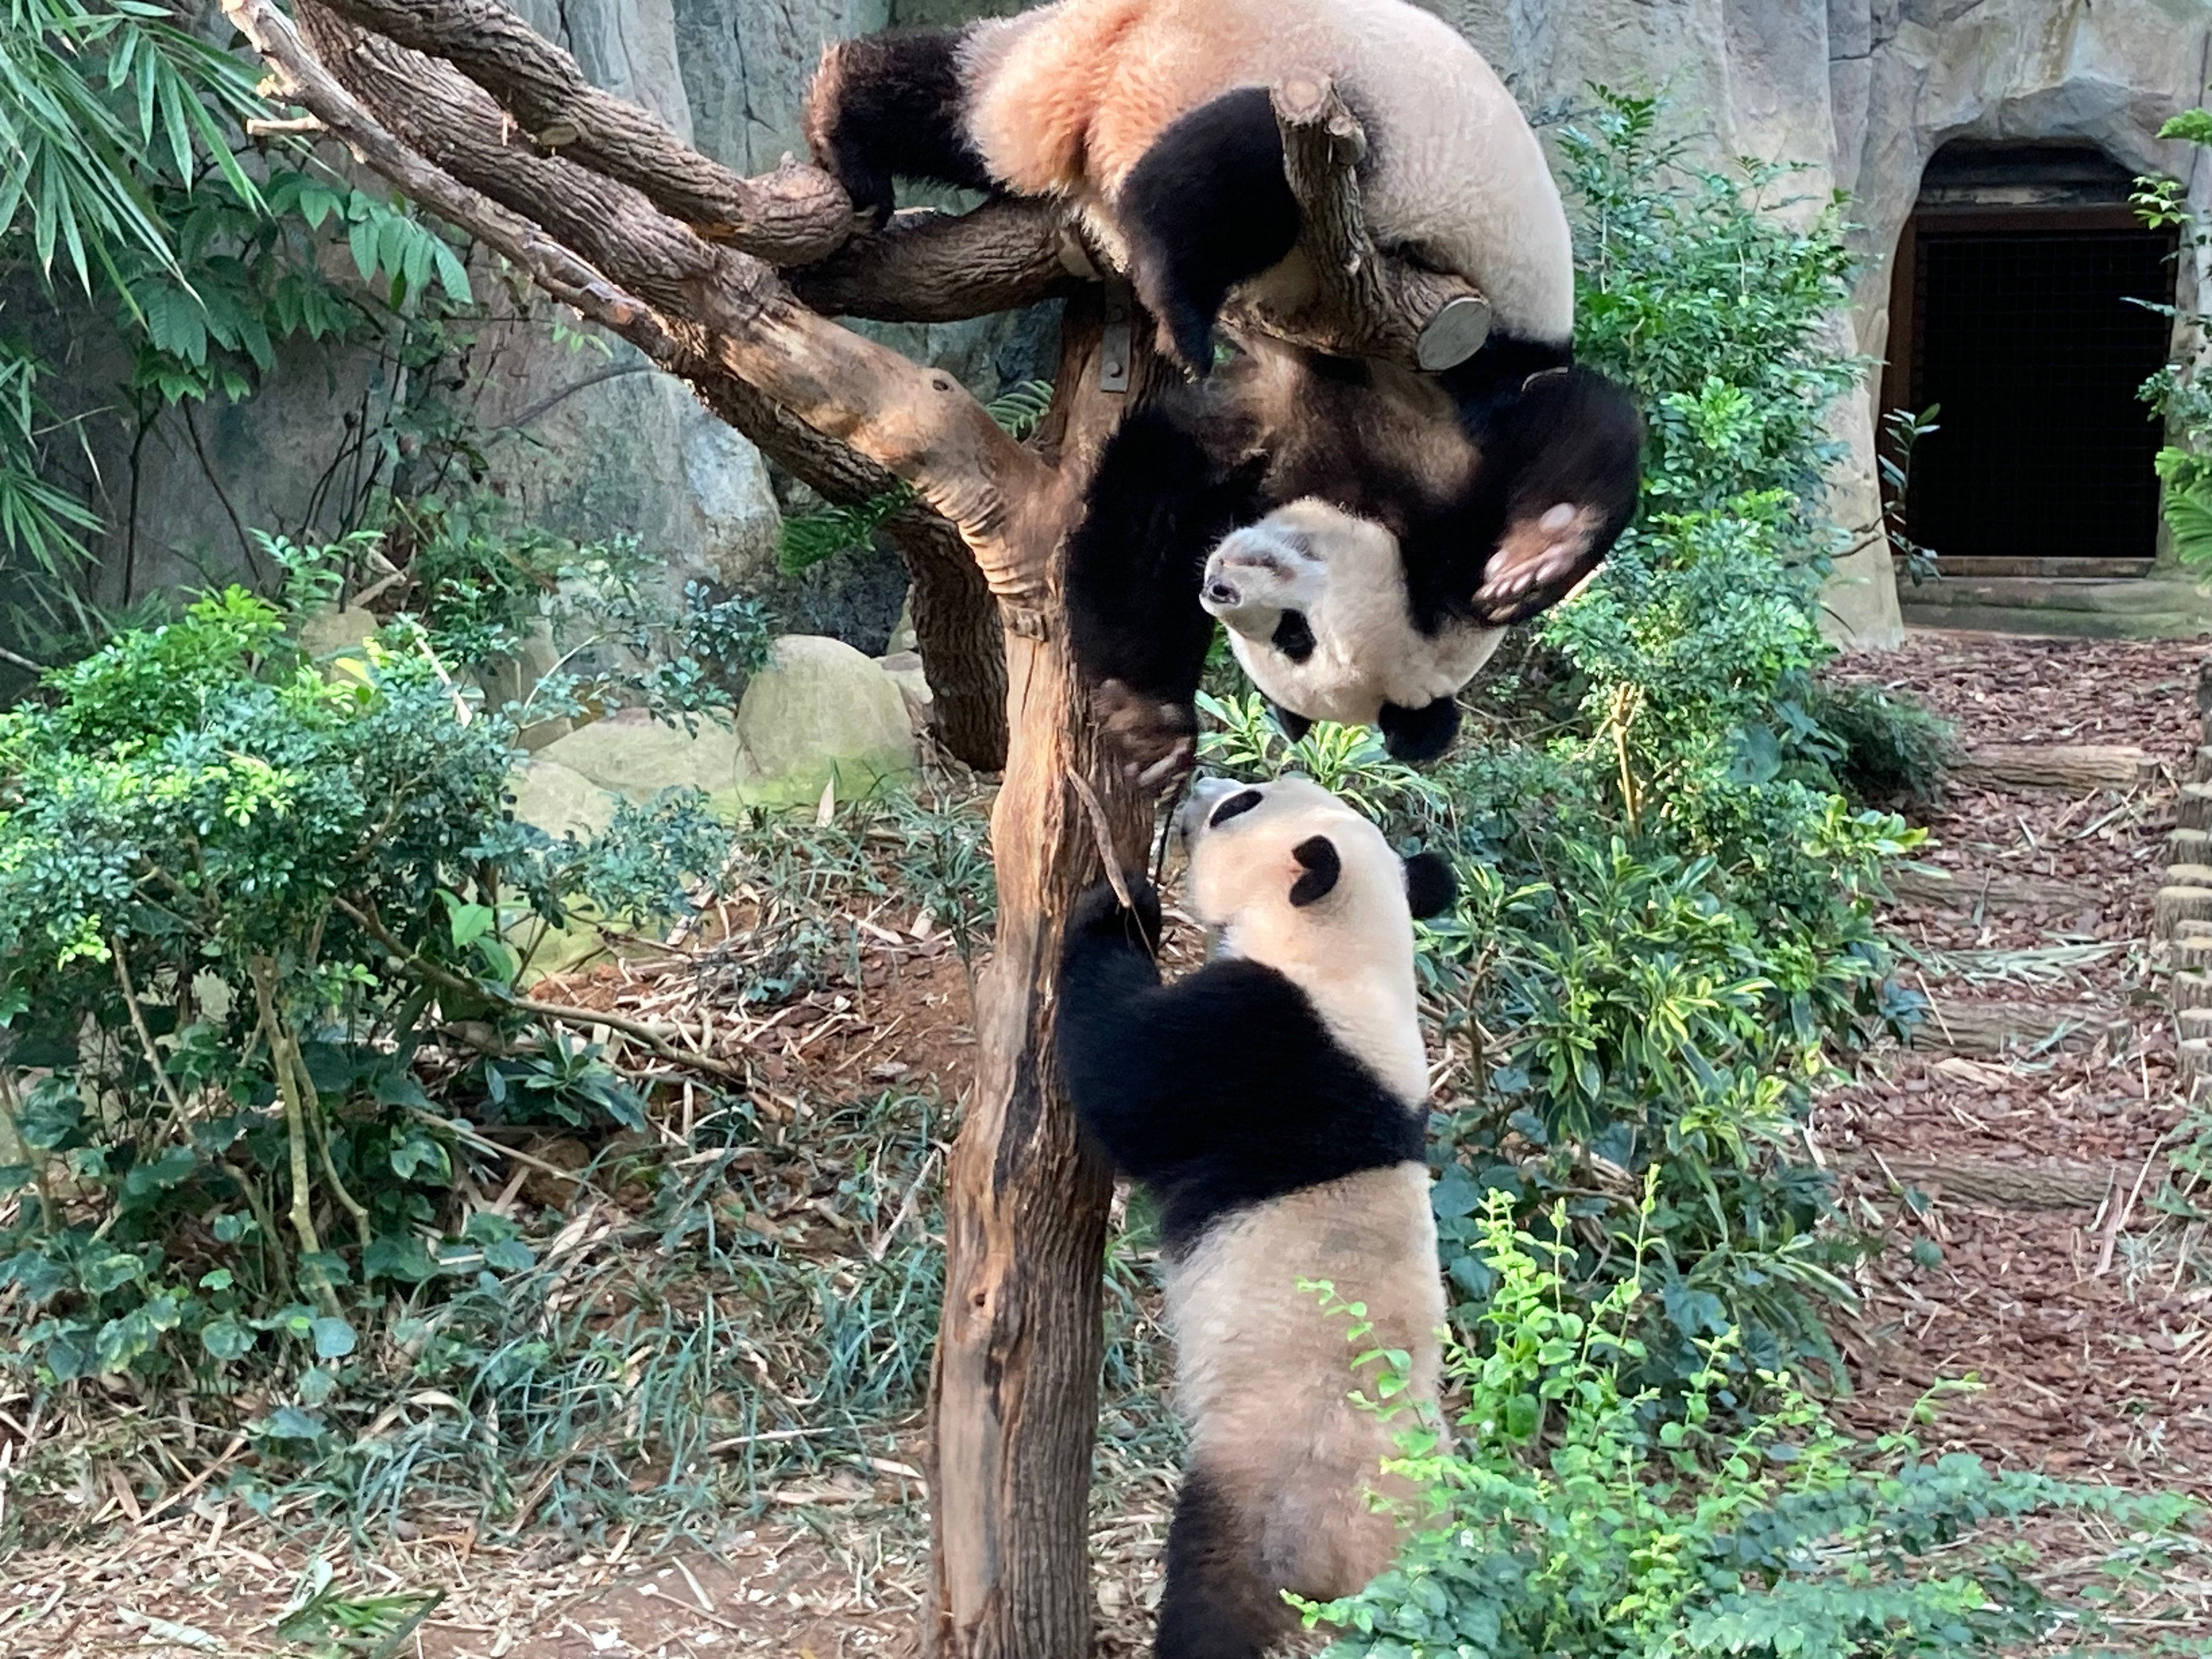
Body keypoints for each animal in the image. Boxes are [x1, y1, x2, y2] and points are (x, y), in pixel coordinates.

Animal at [803, 0, 1645, 773]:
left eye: (1290, 640)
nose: (1222, 589)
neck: (1398, 528)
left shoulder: (1284, 432)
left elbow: (1150, 492)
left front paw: (1142, 714)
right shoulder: (1435, 385)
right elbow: (1580, 419)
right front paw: (1530, 566)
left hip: (1058, 64)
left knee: (958, 96)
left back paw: (845, 125)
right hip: (1340, 111)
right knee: (1235, 167)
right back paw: (1175, 301)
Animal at [1057, 774, 1456, 1658]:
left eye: (1244, 803)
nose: (1202, 782)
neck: (1355, 953)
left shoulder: (1269, 1041)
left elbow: (1128, 1078)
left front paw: (1121, 906)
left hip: (1272, 1479)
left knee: (1217, 1588)